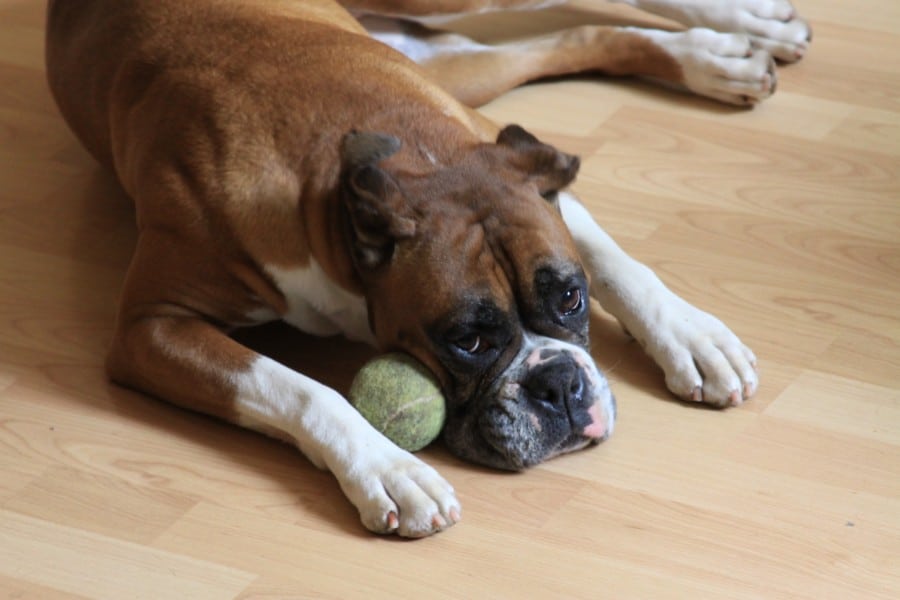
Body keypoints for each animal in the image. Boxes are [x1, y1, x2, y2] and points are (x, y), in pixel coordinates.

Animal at [44, 0, 808, 536]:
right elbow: (298, 389)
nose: (559, 385)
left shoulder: (507, 162)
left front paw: (692, 337)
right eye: (466, 341)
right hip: (447, 55)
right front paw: (388, 469)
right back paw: (725, 52)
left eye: (571, 299)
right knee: (557, 37)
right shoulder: (151, 329)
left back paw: (734, 38)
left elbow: (615, 259)